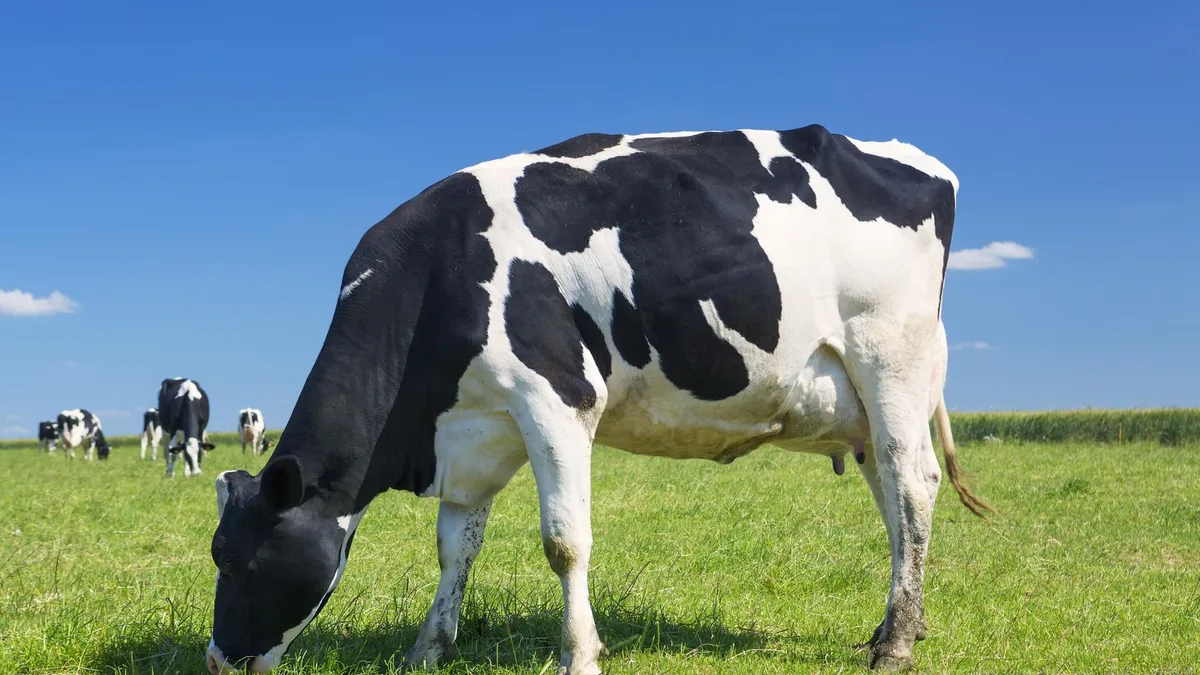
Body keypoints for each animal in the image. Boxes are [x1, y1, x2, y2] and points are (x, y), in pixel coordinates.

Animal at [205, 124, 995, 675]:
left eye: (237, 561)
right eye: (219, 553)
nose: (214, 659)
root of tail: (913, 158)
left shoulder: (556, 398)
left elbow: (564, 541)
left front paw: (578, 654)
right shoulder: (473, 429)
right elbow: (454, 547)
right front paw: (428, 647)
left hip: (890, 357)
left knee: (913, 484)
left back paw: (896, 643)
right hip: (862, 398)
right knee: (892, 495)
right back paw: (896, 623)